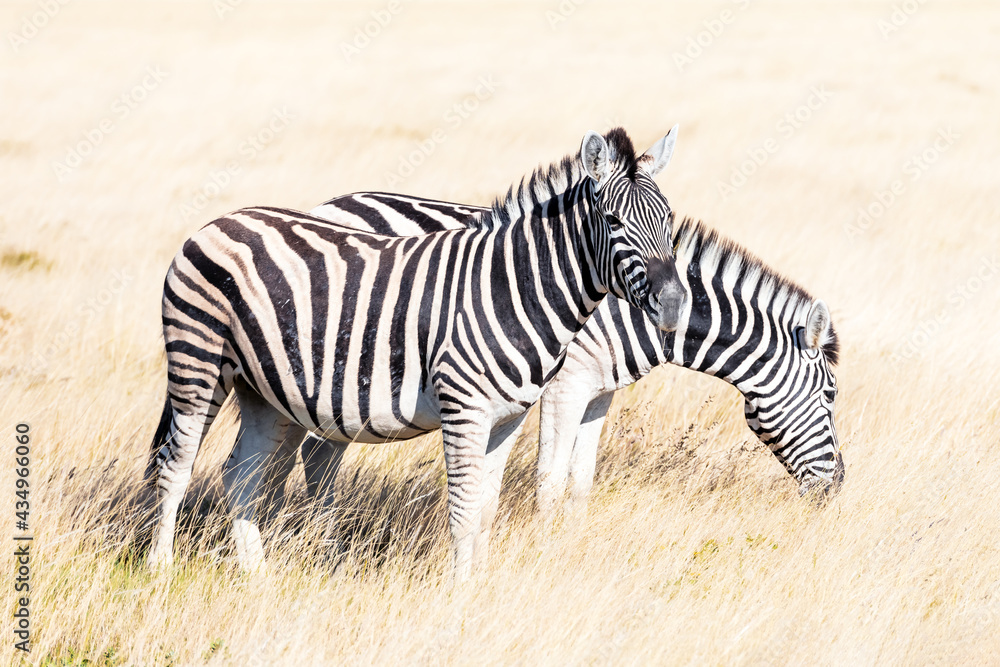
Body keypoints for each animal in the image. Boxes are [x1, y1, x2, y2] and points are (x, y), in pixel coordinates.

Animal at [148, 128, 688, 576]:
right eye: (614, 220)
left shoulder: (508, 417)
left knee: (241, 475)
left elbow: (485, 509)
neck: (512, 287)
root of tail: (218, 221)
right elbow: (463, 511)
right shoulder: (464, 407)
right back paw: (160, 572)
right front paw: (459, 596)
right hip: (199, 364)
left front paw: (481, 587)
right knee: (176, 467)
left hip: (259, 387)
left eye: (668, 219)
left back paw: (257, 578)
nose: (675, 303)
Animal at [296, 193, 844, 520]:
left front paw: (571, 542)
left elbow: (581, 482)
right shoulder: (565, 385)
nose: (839, 487)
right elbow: (551, 480)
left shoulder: (598, 393)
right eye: (829, 396)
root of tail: (330, 205)